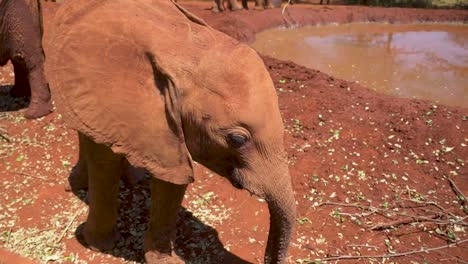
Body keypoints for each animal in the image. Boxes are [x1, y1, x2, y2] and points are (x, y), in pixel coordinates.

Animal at [47, 0, 296, 264]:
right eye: (237, 139)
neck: (186, 51)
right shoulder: (106, 101)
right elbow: (105, 164)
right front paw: (99, 245)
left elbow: (173, 179)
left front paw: (164, 260)